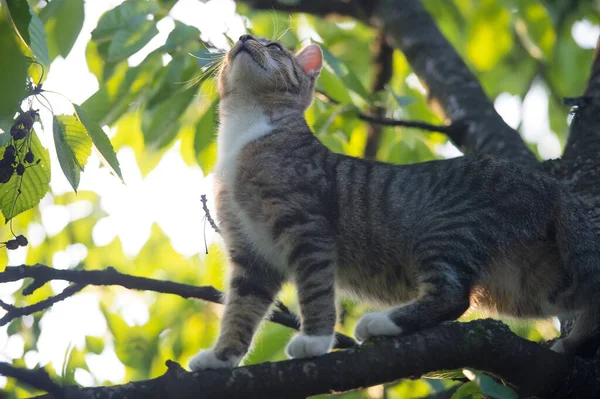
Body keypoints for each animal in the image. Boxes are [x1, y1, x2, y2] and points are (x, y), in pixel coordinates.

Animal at [190, 35, 600, 372]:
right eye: (242, 38)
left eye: (274, 46)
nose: (244, 38)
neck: (246, 135)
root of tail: (551, 185)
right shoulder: (250, 252)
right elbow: (242, 308)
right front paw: (221, 357)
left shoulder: (307, 226)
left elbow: (316, 289)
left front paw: (315, 341)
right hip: (533, 280)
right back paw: (573, 344)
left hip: (446, 230)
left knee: (453, 296)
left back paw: (382, 322)